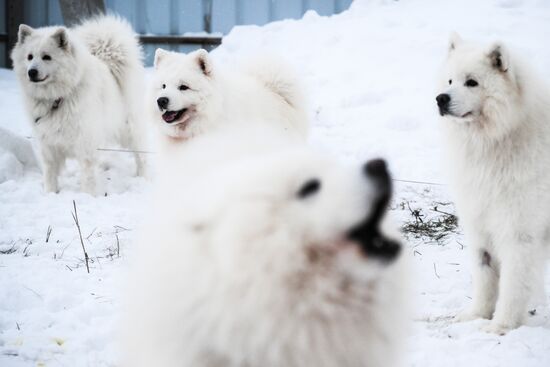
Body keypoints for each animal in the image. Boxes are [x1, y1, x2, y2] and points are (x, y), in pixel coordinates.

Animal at [11, 16, 148, 196]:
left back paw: (143, 176)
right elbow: (50, 173)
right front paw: (50, 194)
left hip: (129, 130)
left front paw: (88, 196)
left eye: (47, 57)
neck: (57, 97)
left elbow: (88, 176)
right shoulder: (48, 144)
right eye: (29, 57)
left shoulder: (85, 144)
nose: (31, 72)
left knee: (141, 155)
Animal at [438, 33, 548, 334]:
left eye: (472, 82)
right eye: (449, 81)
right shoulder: (480, 219)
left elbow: (513, 283)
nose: (440, 99)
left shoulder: (519, 230)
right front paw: (477, 315)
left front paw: (501, 326)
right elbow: (484, 273)